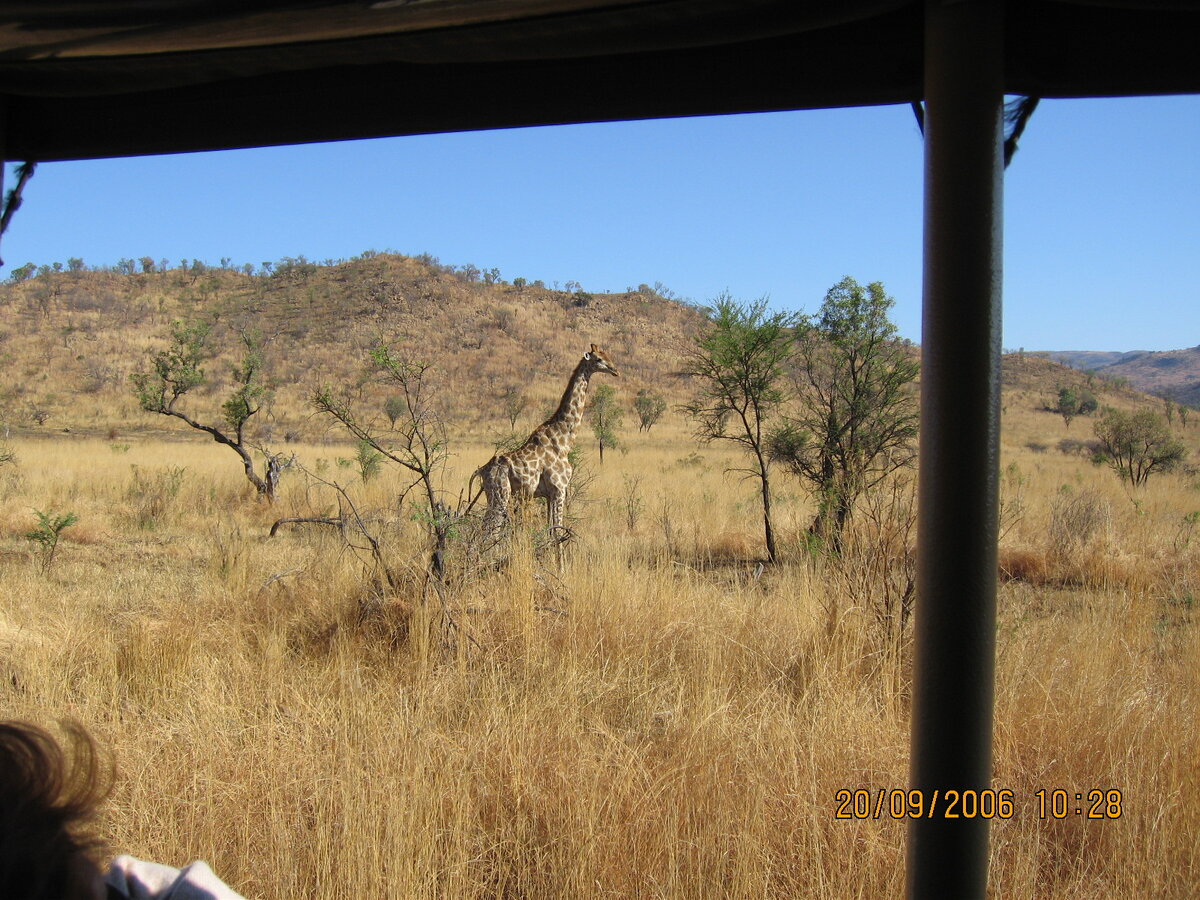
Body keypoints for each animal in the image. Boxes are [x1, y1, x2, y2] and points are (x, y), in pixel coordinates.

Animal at [470, 348, 619, 554]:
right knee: (489, 532)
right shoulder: (559, 489)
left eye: (607, 356)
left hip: (492, 495)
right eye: (598, 359)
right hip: (501, 495)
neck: (564, 440)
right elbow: (558, 532)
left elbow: (550, 532)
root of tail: (482, 470)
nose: (615, 370)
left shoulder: (548, 495)